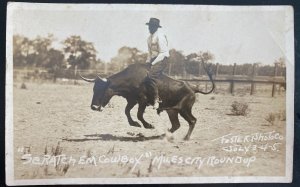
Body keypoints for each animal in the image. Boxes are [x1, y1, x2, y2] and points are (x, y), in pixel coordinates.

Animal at [79, 63, 214, 140]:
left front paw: (148, 125)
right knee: (176, 124)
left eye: (101, 89)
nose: (94, 106)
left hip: (183, 109)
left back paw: (185, 138)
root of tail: (193, 88)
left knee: (192, 120)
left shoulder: (142, 101)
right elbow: (127, 111)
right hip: (172, 111)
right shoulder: (132, 100)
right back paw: (162, 135)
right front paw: (135, 124)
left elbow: (139, 114)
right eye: (94, 89)